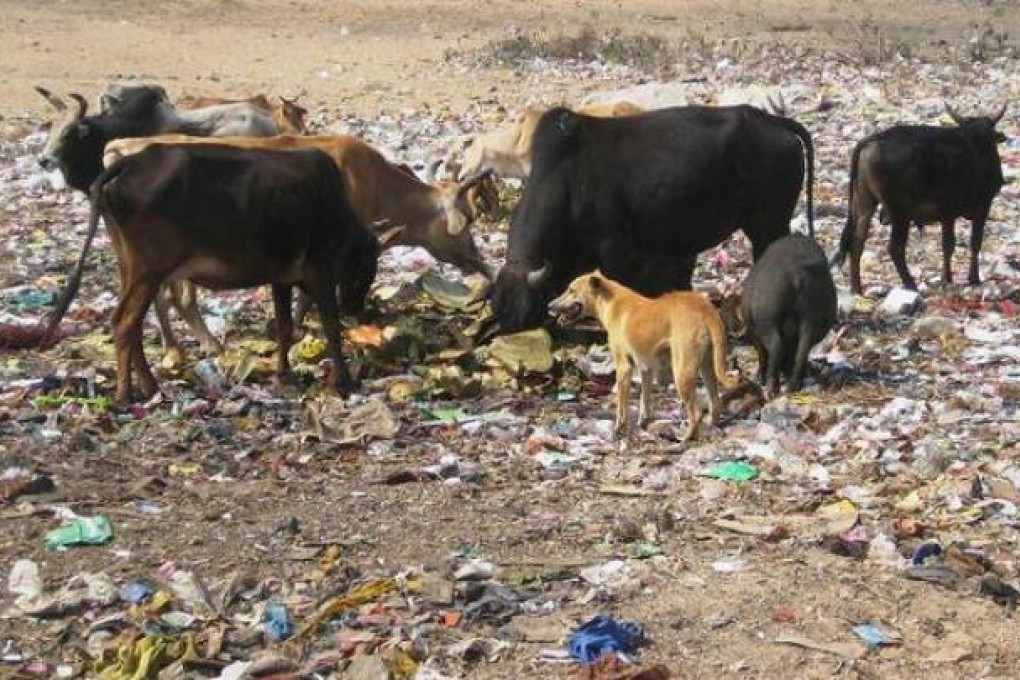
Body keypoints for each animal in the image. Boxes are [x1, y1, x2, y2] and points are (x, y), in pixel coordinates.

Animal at [41, 144, 381, 403]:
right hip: (148, 270)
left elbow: (285, 327)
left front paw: (284, 375)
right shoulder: (321, 270)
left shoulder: (281, 278)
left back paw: (151, 387)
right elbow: (331, 327)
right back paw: (126, 394)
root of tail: (130, 162)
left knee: (131, 324)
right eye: (367, 271)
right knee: (125, 323)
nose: (356, 309)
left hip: (130, 267)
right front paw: (344, 381)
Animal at [489, 104, 816, 334]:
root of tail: (772, 121)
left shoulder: (615, 246)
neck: (566, 178)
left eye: (528, 317)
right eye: (499, 316)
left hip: (768, 224)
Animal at [550, 271, 742, 442]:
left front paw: (618, 429)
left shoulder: (623, 367)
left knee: (696, 413)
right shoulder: (646, 368)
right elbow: (645, 400)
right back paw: (711, 427)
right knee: (715, 403)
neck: (610, 300)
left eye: (572, 290)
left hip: (682, 371)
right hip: (707, 366)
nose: (549, 306)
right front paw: (643, 423)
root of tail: (705, 308)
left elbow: (621, 406)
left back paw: (686, 438)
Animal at [832, 104, 1007, 293]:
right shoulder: (979, 206)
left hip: (865, 203)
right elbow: (972, 242)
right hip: (900, 213)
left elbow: (949, 246)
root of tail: (876, 138)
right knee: (895, 248)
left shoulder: (949, 214)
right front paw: (969, 278)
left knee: (857, 242)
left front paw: (948, 278)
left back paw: (856, 288)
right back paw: (910, 285)